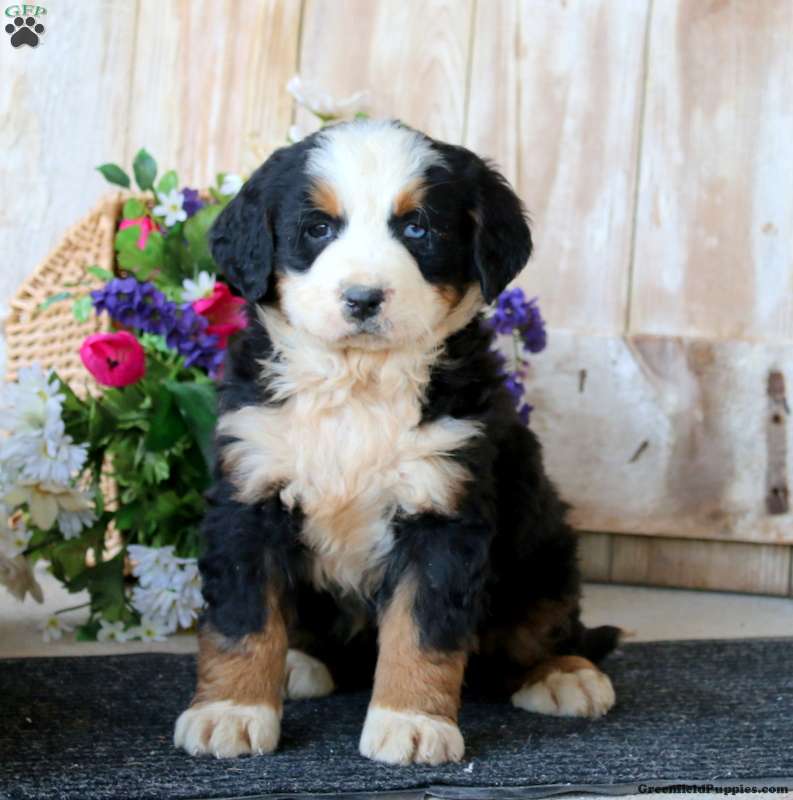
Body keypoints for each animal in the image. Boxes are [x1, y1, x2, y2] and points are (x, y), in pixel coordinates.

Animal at [173, 119, 620, 765]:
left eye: (417, 228)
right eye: (318, 229)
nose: (362, 298)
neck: (358, 383)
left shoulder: (443, 507)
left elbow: (422, 630)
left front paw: (410, 721)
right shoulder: (249, 494)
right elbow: (243, 620)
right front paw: (231, 710)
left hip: (544, 548)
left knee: (545, 624)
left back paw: (564, 674)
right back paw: (298, 664)